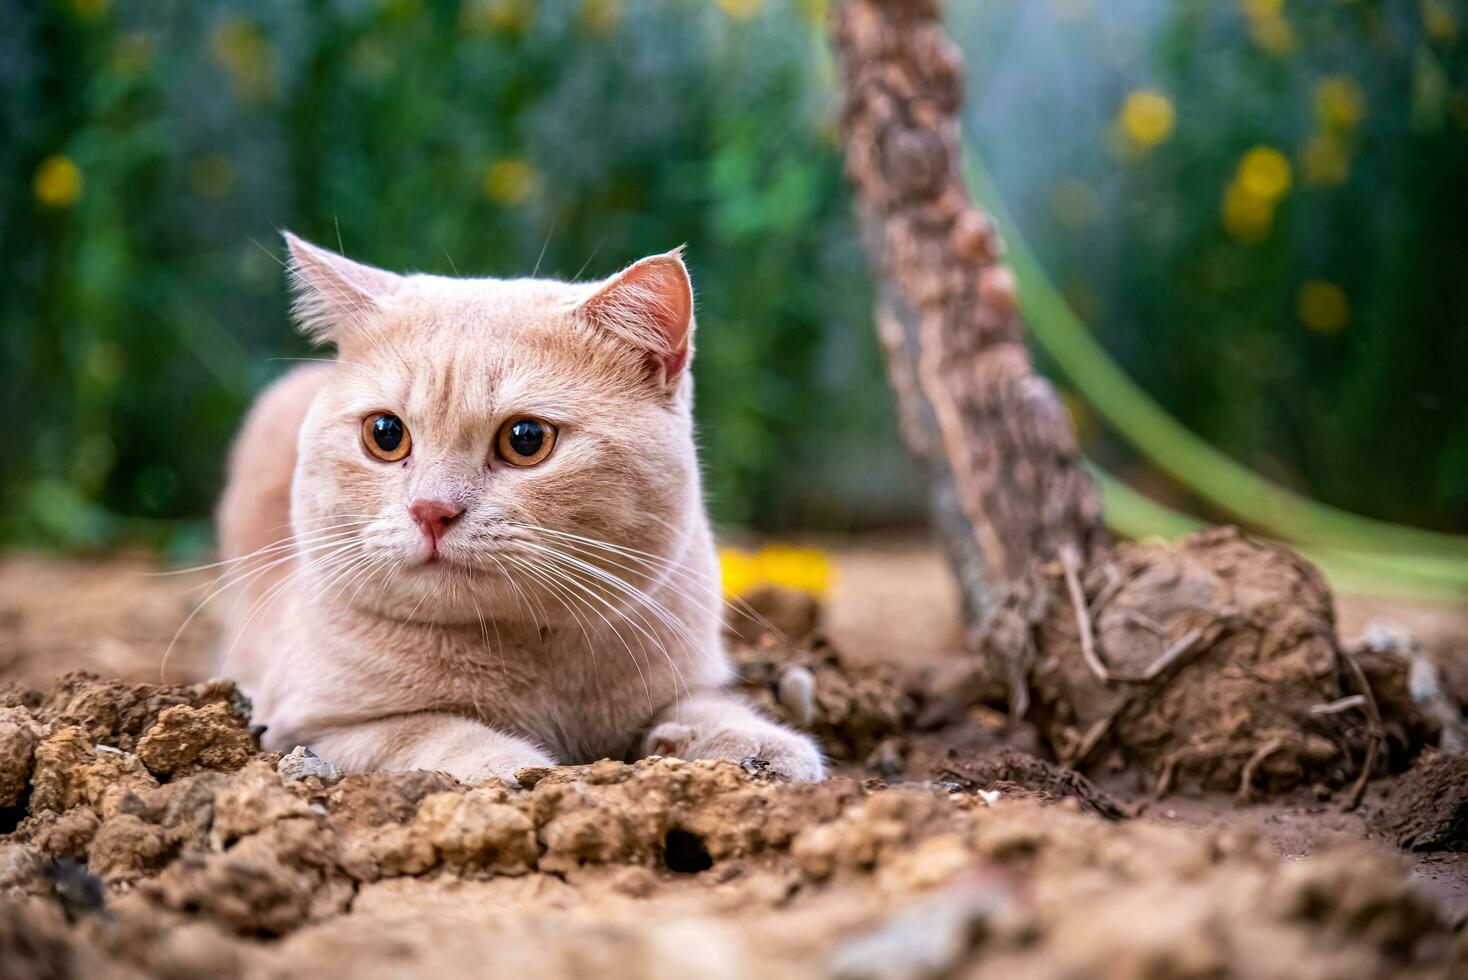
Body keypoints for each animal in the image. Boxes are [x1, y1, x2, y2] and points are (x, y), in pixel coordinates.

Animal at [214, 233, 827, 786]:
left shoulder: (683, 678)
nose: (431, 509)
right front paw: (510, 765)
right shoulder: (301, 728)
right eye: (385, 434)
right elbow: (426, 730)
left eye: (525, 439)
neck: (534, 655)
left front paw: (759, 745)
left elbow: (704, 707)